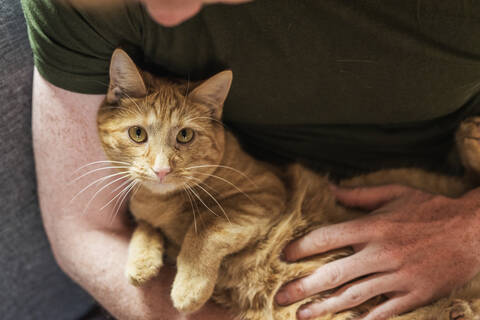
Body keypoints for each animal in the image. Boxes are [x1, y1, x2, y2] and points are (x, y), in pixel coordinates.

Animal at [96, 48, 480, 318]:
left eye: (185, 136)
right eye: (138, 134)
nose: (161, 170)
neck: (164, 201)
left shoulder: (264, 194)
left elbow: (205, 228)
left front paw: (188, 288)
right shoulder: (147, 209)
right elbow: (144, 225)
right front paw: (140, 263)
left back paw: (471, 136)